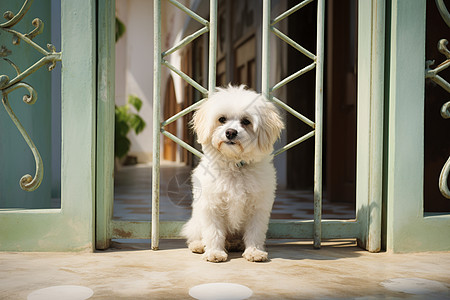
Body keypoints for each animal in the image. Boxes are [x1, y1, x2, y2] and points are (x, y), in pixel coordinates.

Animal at [181, 85, 284, 262]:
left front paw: (254, 251)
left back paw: (236, 244)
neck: (235, 164)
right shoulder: (211, 205)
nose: (230, 132)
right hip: (195, 222)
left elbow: (255, 231)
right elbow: (213, 231)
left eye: (246, 121)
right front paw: (214, 252)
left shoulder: (258, 207)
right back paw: (199, 245)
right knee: (196, 234)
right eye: (222, 119)